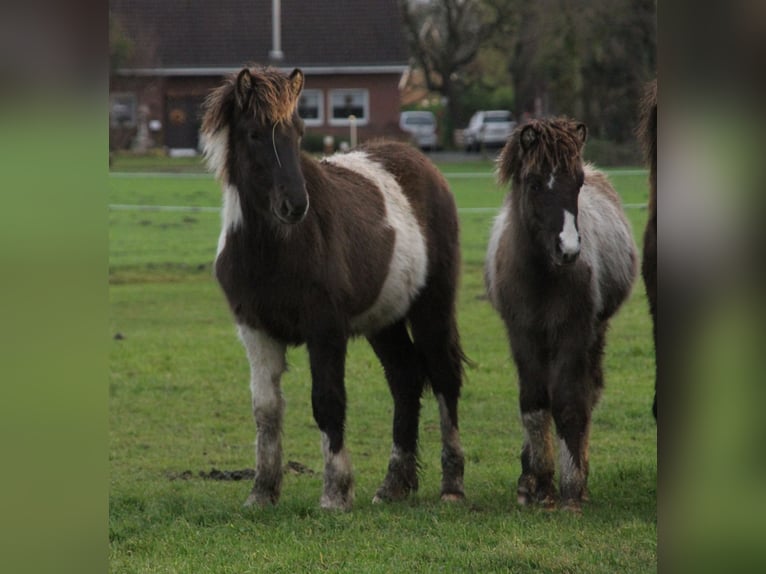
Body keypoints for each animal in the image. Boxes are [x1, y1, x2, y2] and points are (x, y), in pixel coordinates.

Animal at [200, 65, 466, 510]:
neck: (274, 248)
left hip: (432, 307)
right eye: (254, 134)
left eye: (298, 131)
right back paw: (393, 486)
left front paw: (336, 494)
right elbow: (266, 410)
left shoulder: (325, 330)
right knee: (406, 378)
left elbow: (327, 402)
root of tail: (426, 167)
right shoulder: (255, 330)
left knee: (445, 378)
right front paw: (262, 492)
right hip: (384, 321)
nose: (295, 205)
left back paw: (452, 486)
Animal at [485, 118, 637, 510]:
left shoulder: (573, 333)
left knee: (588, 393)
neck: (542, 277)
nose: (568, 249)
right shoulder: (522, 334)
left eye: (578, 182)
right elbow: (534, 404)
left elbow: (569, 404)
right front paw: (537, 484)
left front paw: (570, 491)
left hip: (595, 334)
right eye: (535, 183)